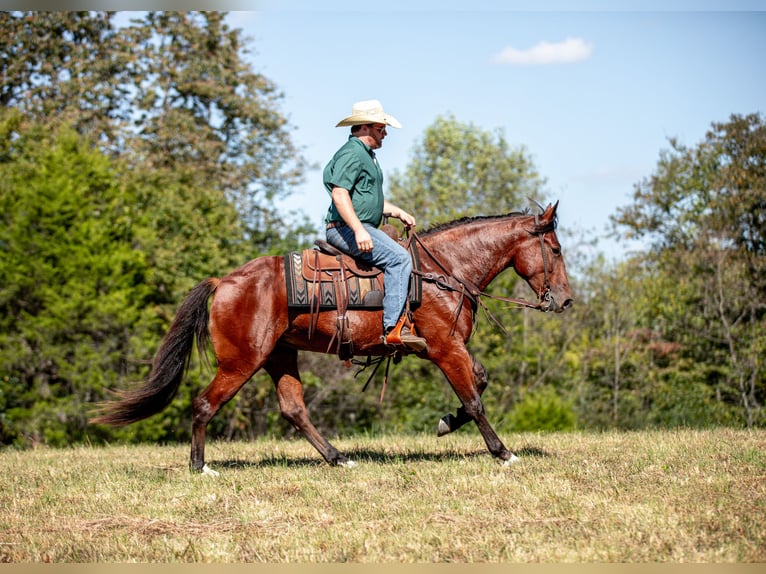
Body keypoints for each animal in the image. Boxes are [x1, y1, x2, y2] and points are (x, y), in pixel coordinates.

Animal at [91, 202, 573, 474]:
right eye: (555, 249)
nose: (565, 300)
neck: (445, 270)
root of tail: (222, 282)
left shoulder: (451, 348)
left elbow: (480, 381)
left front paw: (445, 423)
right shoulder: (444, 349)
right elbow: (474, 398)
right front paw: (503, 453)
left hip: (279, 357)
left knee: (293, 409)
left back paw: (338, 458)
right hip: (242, 361)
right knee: (205, 403)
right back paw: (200, 467)